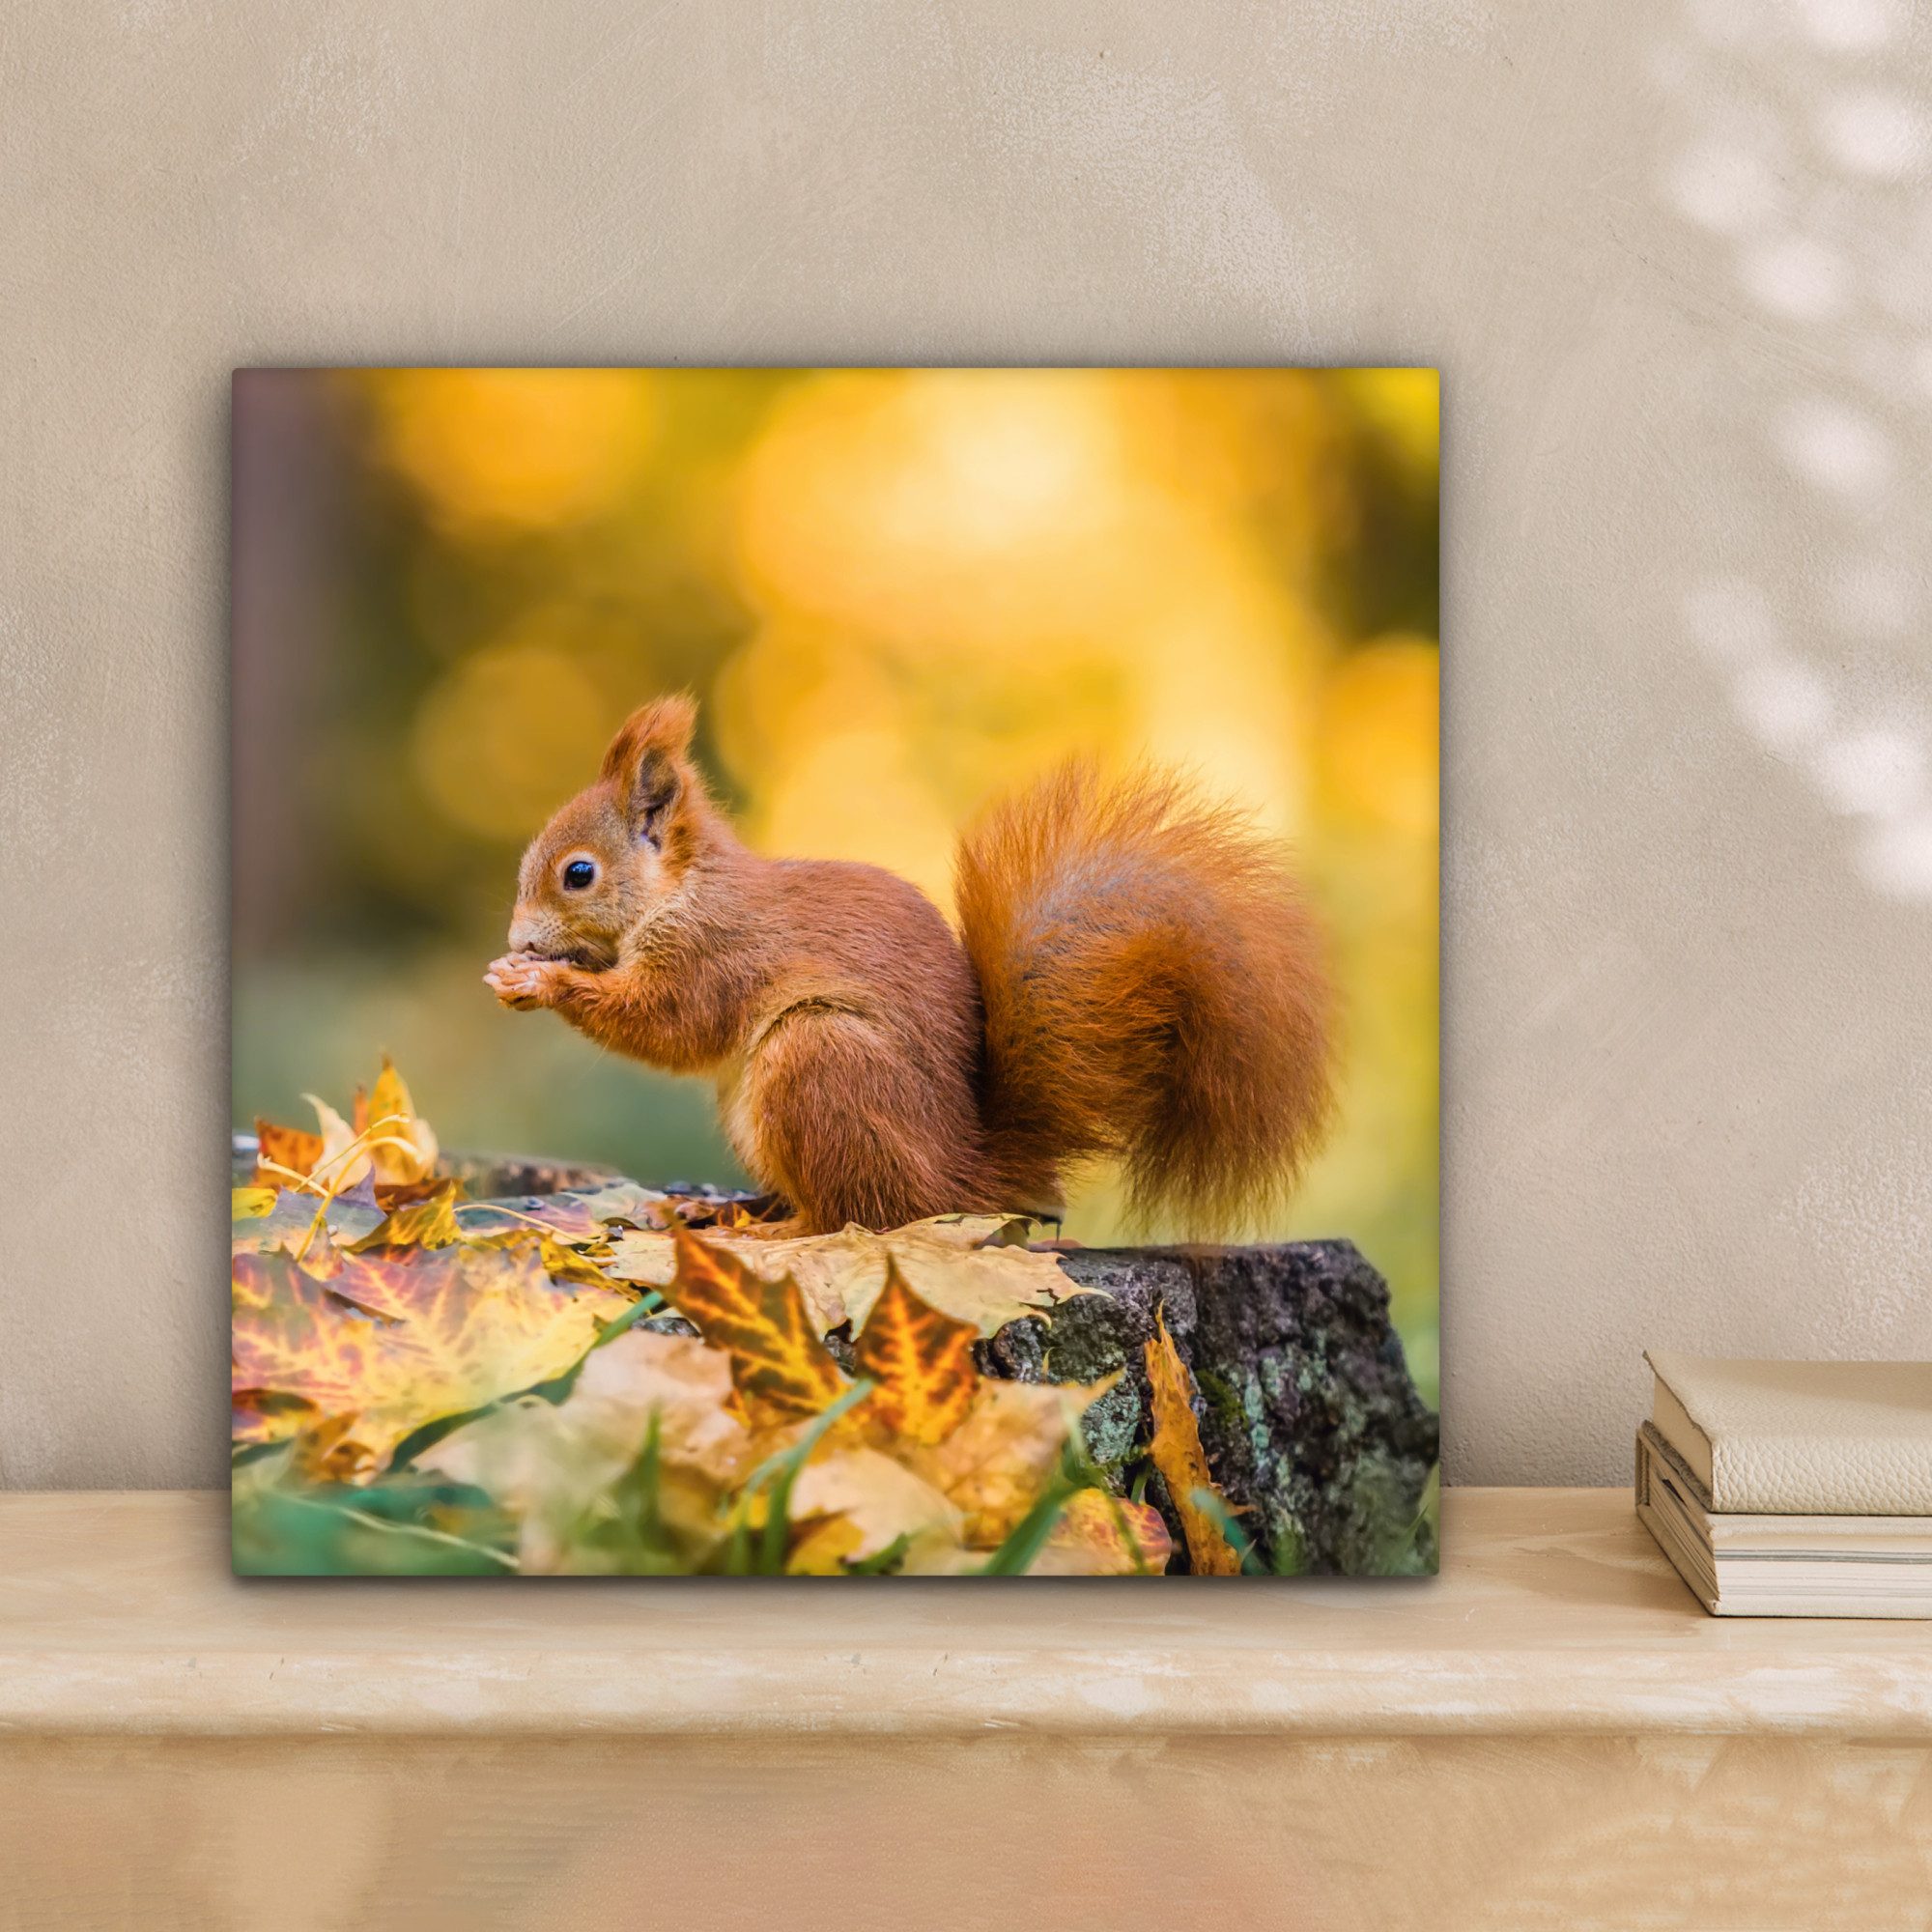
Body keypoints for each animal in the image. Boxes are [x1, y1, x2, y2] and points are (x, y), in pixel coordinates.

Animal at [485, 695, 1334, 1238]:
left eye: (579, 874)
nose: (518, 940)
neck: (682, 889)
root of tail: (962, 1179)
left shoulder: (713, 952)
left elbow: (669, 1025)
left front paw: (540, 982)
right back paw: (726, 1210)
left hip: (819, 1063)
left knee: (855, 1216)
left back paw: (768, 1232)